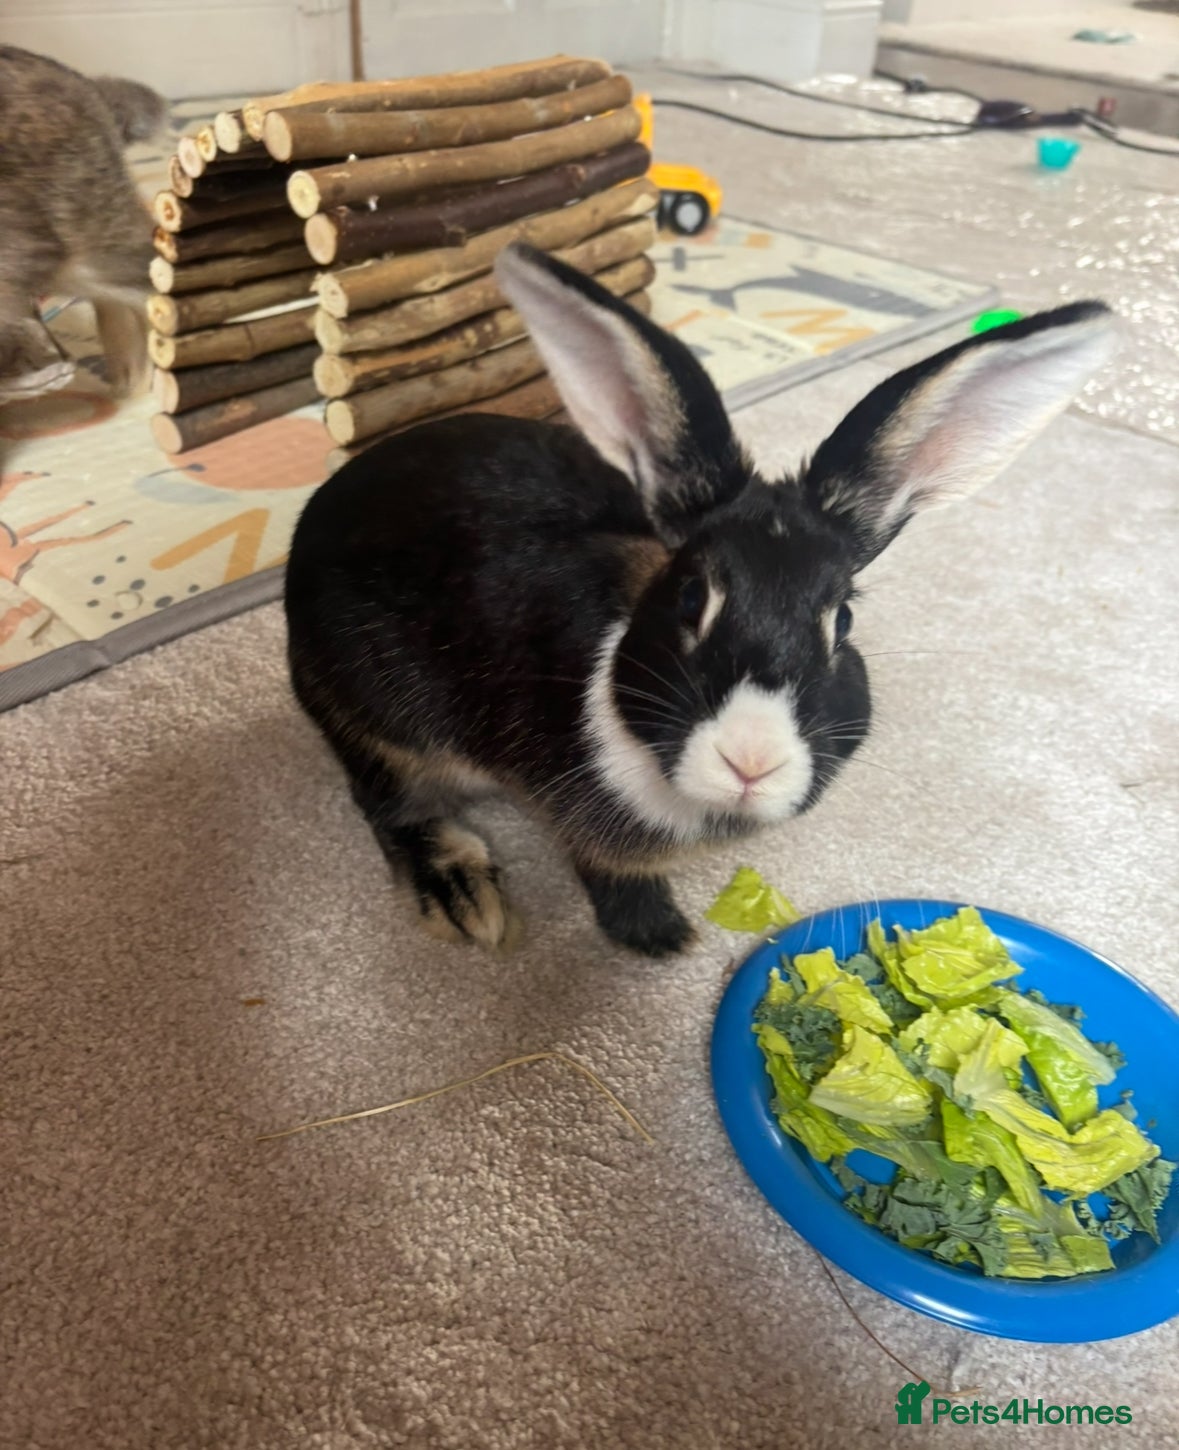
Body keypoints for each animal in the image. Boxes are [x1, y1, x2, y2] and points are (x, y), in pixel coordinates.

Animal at [284, 241, 1114, 958]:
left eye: (840, 620)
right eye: (690, 598)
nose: (751, 761)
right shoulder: (582, 822)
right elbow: (608, 874)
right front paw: (660, 938)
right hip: (381, 717)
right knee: (386, 801)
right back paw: (462, 894)